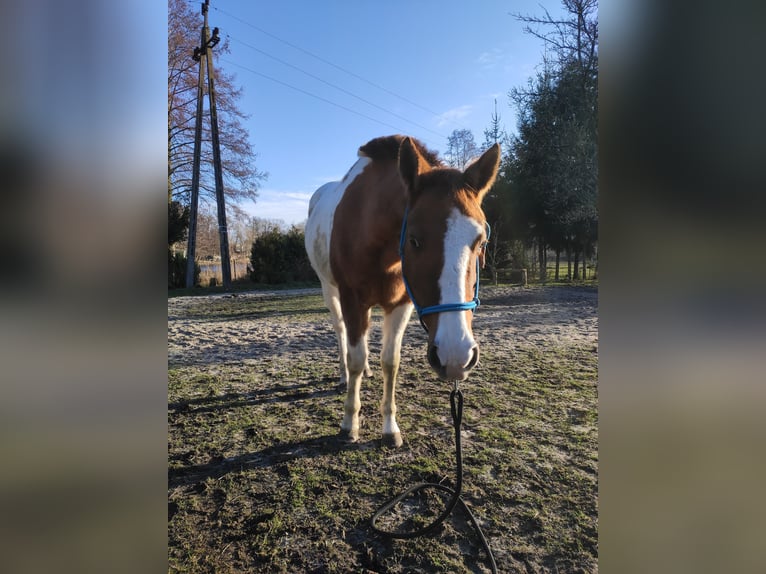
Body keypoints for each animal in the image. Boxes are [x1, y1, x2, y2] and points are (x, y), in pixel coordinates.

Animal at [306, 136, 504, 450]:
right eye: (414, 240)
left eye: (481, 241)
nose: (456, 355)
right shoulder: (353, 300)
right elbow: (355, 358)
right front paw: (350, 423)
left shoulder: (400, 304)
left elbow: (390, 362)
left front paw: (390, 428)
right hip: (330, 290)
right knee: (341, 334)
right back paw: (343, 376)